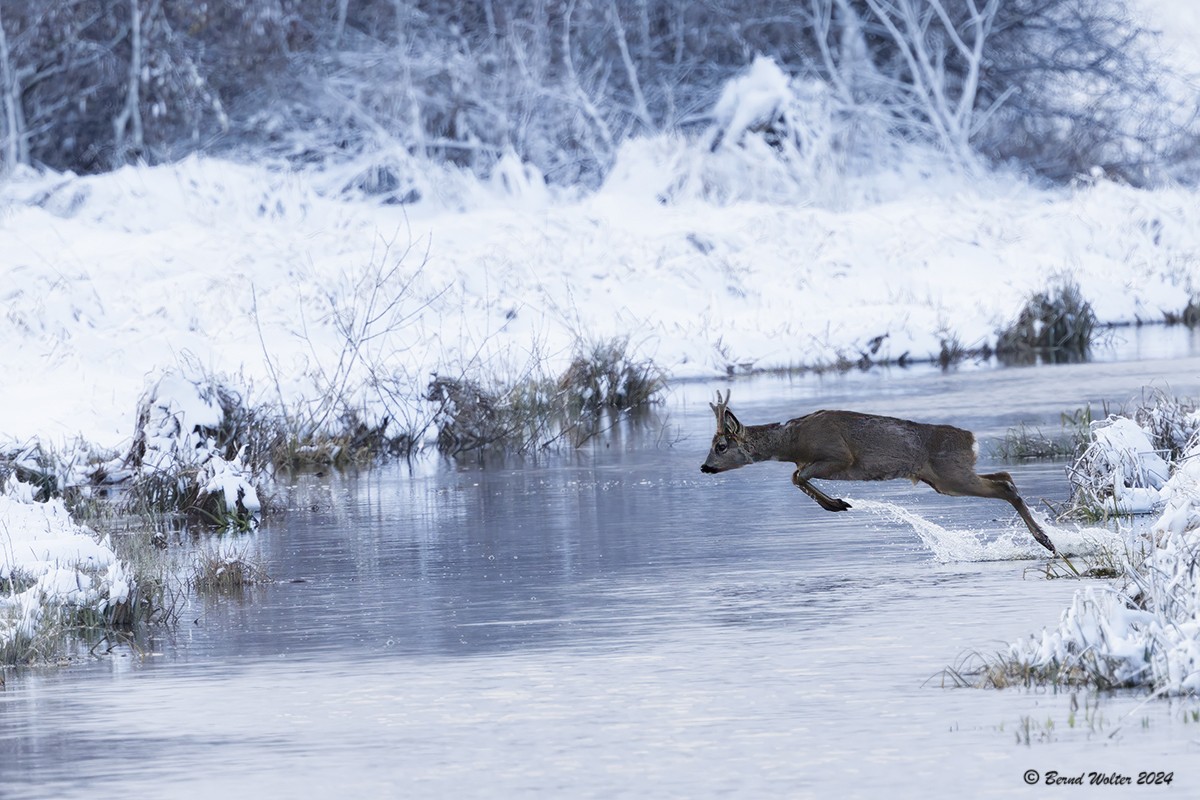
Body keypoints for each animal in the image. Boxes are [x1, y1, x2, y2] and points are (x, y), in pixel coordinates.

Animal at [699, 391, 1057, 553]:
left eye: (721, 446)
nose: (704, 467)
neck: (792, 442)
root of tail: (971, 439)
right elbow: (796, 476)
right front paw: (837, 503)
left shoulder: (839, 455)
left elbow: (796, 476)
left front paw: (837, 504)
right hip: (945, 479)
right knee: (1006, 476)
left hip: (950, 474)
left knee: (1004, 488)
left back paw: (1046, 541)